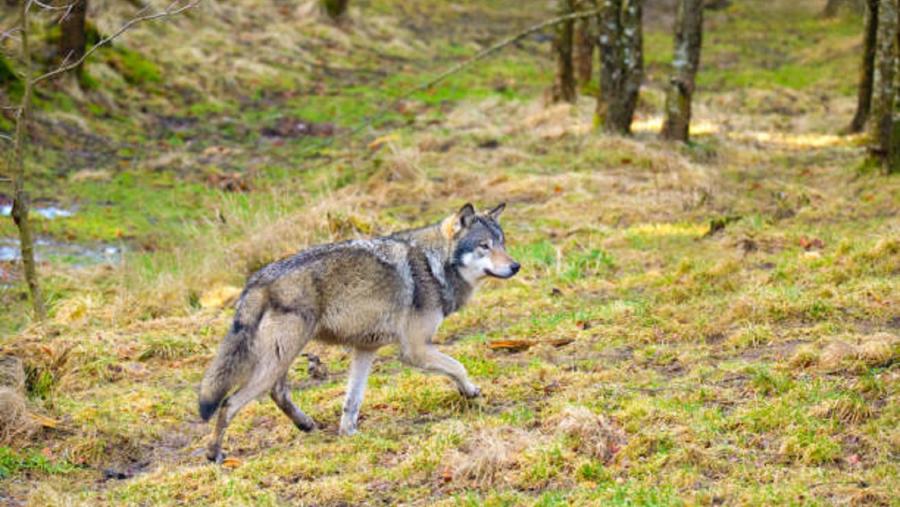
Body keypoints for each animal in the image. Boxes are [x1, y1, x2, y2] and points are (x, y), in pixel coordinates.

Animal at [198, 203, 519, 462]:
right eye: (484, 245)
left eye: (502, 243)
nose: (516, 266)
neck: (434, 265)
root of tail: (256, 281)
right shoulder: (415, 350)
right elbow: (458, 366)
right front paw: (471, 391)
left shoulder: (366, 349)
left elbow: (352, 401)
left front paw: (349, 434)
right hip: (280, 357)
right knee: (229, 403)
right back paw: (215, 454)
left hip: (281, 357)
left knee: (277, 392)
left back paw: (306, 424)